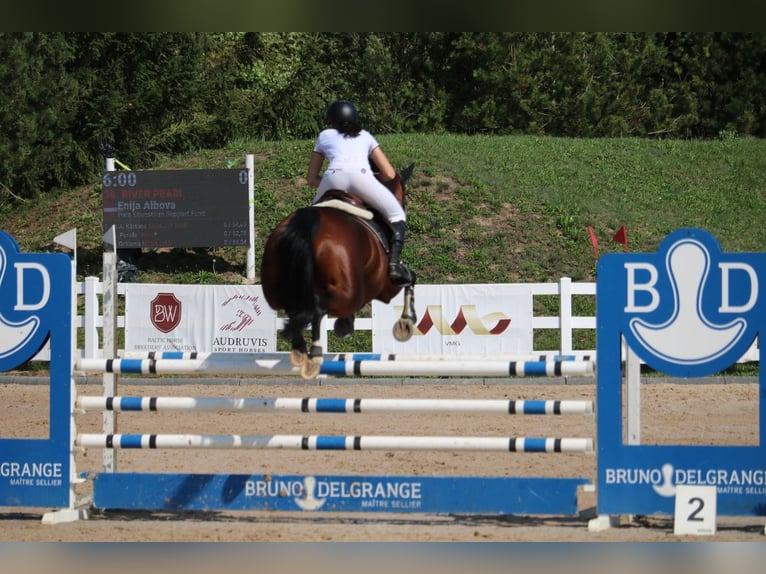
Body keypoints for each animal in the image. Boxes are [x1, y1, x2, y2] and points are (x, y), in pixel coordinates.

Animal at [264, 162, 420, 380]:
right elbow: (411, 278)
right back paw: (315, 352)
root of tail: (307, 224)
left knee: (296, 311)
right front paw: (406, 323)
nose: (402, 205)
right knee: (319, 309)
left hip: (274, 290)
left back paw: (301, 349)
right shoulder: (387, 287)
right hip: (349, 292)